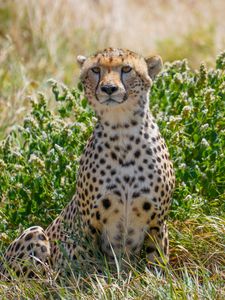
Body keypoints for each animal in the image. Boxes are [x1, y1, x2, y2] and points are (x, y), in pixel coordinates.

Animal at [0, 48, 175, 280]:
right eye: (96, 70)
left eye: (126, 69)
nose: (109, 88)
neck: (123, 132)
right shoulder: (88, 225)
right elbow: (89, 266)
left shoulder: (157, 223)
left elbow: (157, 264)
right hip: (35, 233)